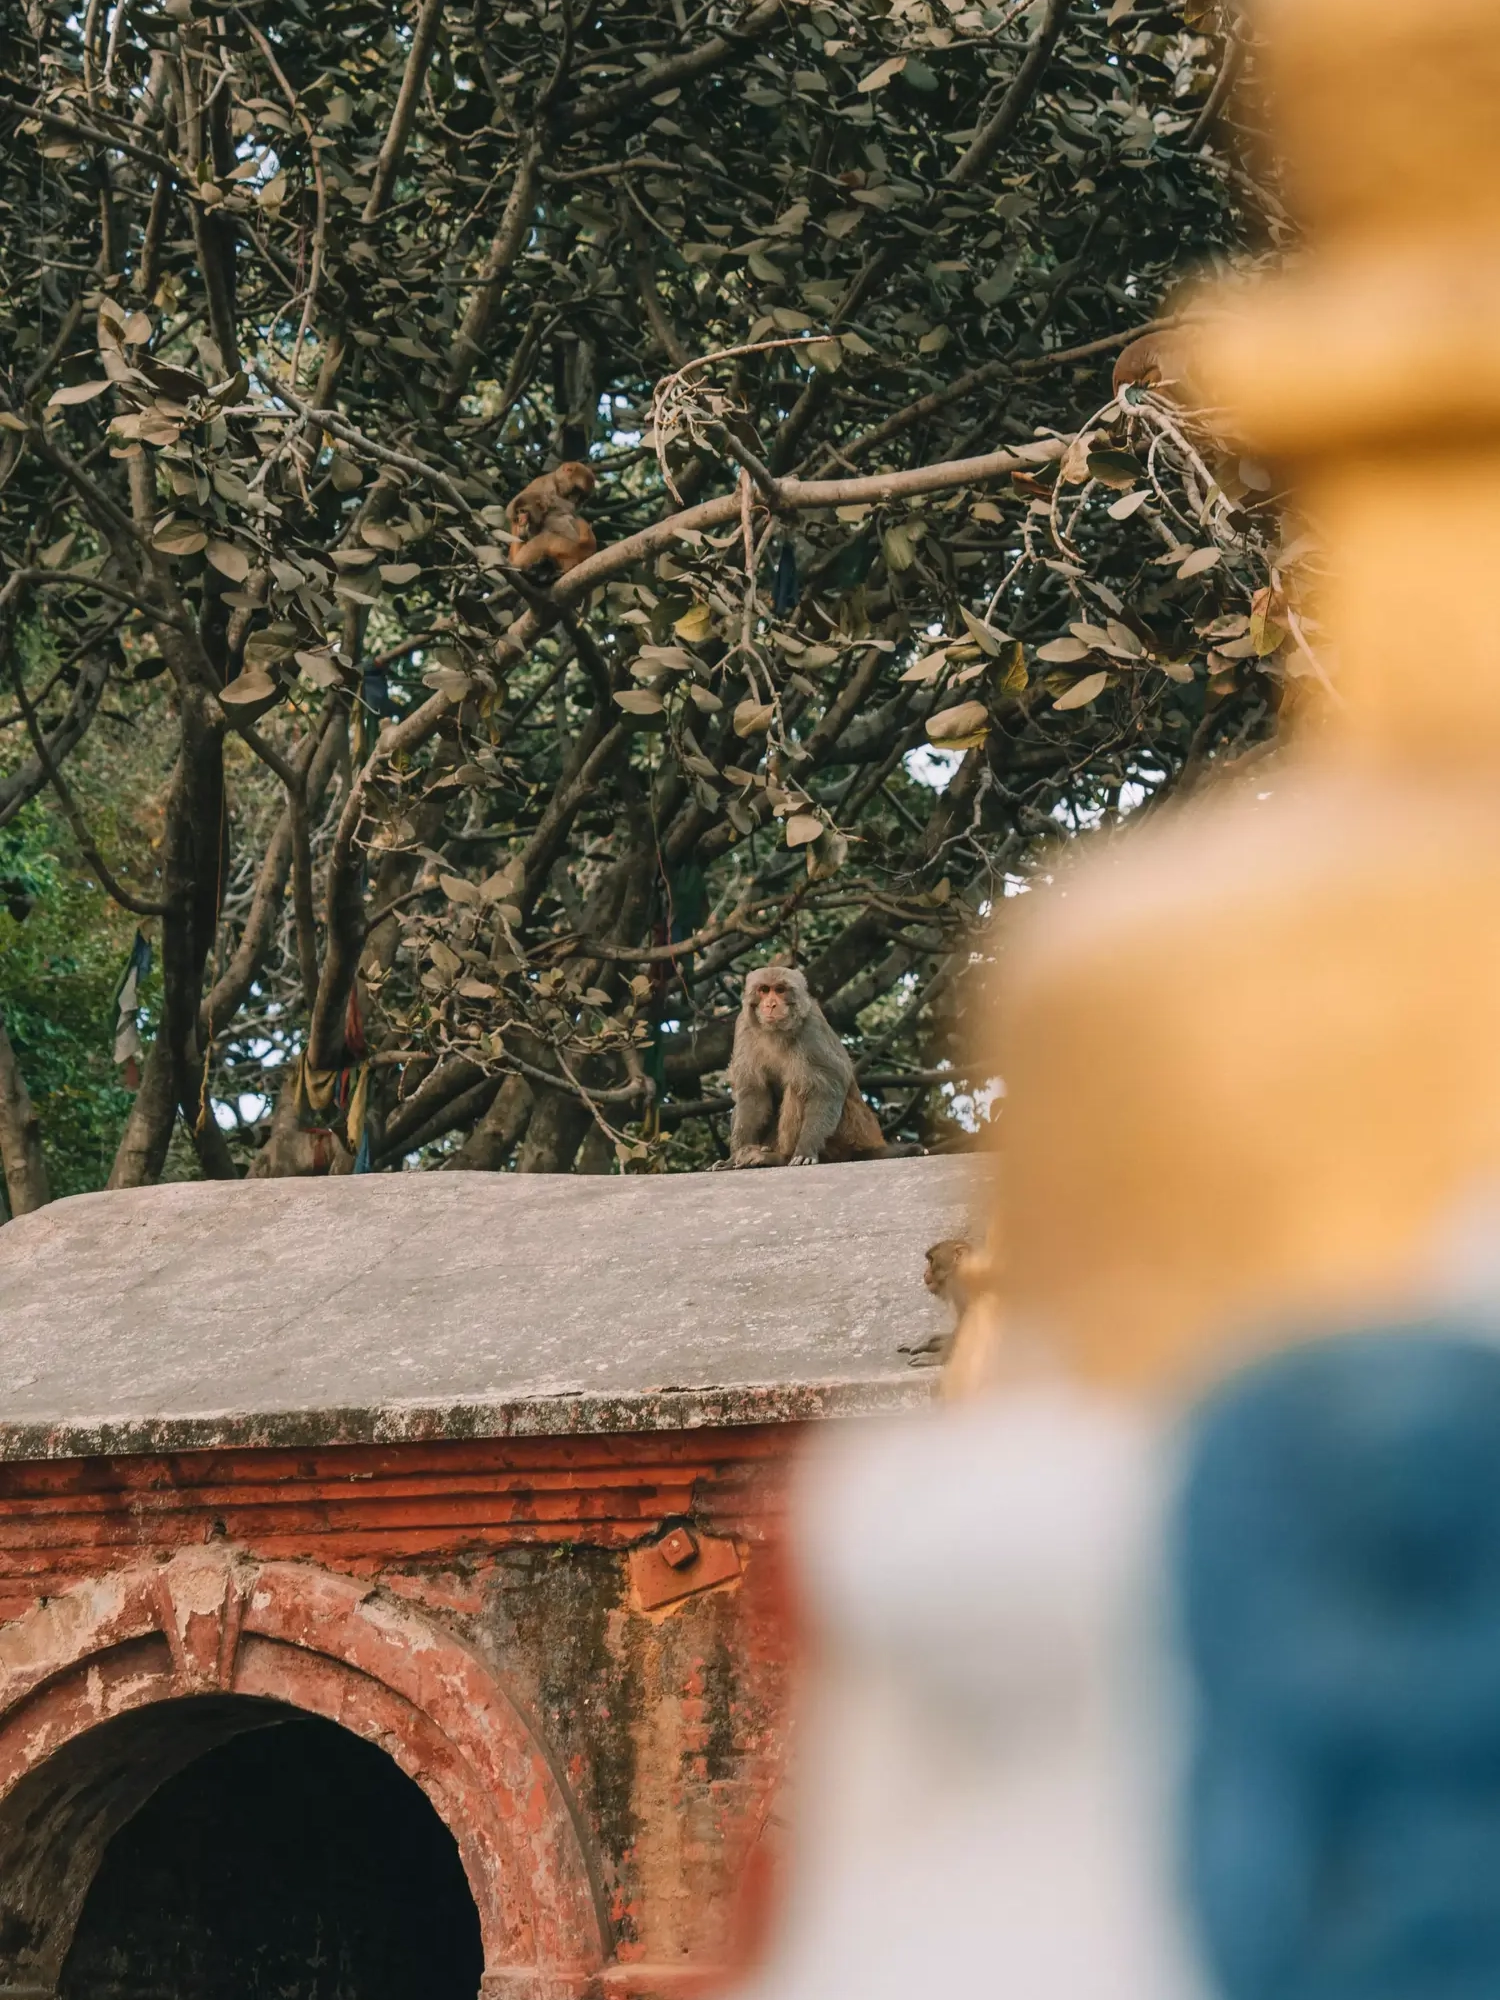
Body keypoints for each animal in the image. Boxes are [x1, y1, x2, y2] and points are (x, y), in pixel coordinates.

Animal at [725, 966, 920, 1167]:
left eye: (780, 990)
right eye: (763, 990)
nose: (770, 1004)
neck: (776, 1032)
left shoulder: (812, 1027)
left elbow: (826, 1088)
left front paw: (805, 1150)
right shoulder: (744, 1026)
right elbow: (753, 1093)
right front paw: (733, 1158)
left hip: (849, 1132)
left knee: (800, 1086)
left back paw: (779, 1157)